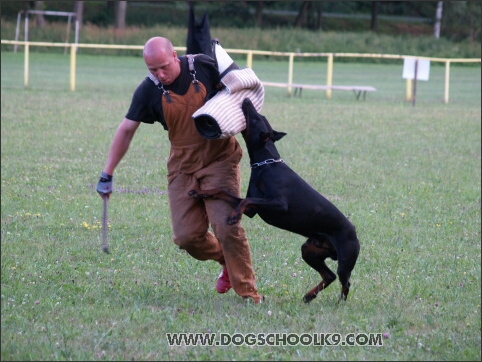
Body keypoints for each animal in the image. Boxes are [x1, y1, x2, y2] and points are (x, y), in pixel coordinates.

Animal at [190, 97, 360, 302]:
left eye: (255, 118)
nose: (246, 99)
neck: (266, 165)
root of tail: (355, 231)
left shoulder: (278, 204)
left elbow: (245, 201)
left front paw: (233, 217)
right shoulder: (253, 209)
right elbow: (223, 192)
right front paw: (201, 193)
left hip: (345, 258)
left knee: (345, 281)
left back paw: (339, 302)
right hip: (310, 251)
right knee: (329, 275)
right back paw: (309, 296)